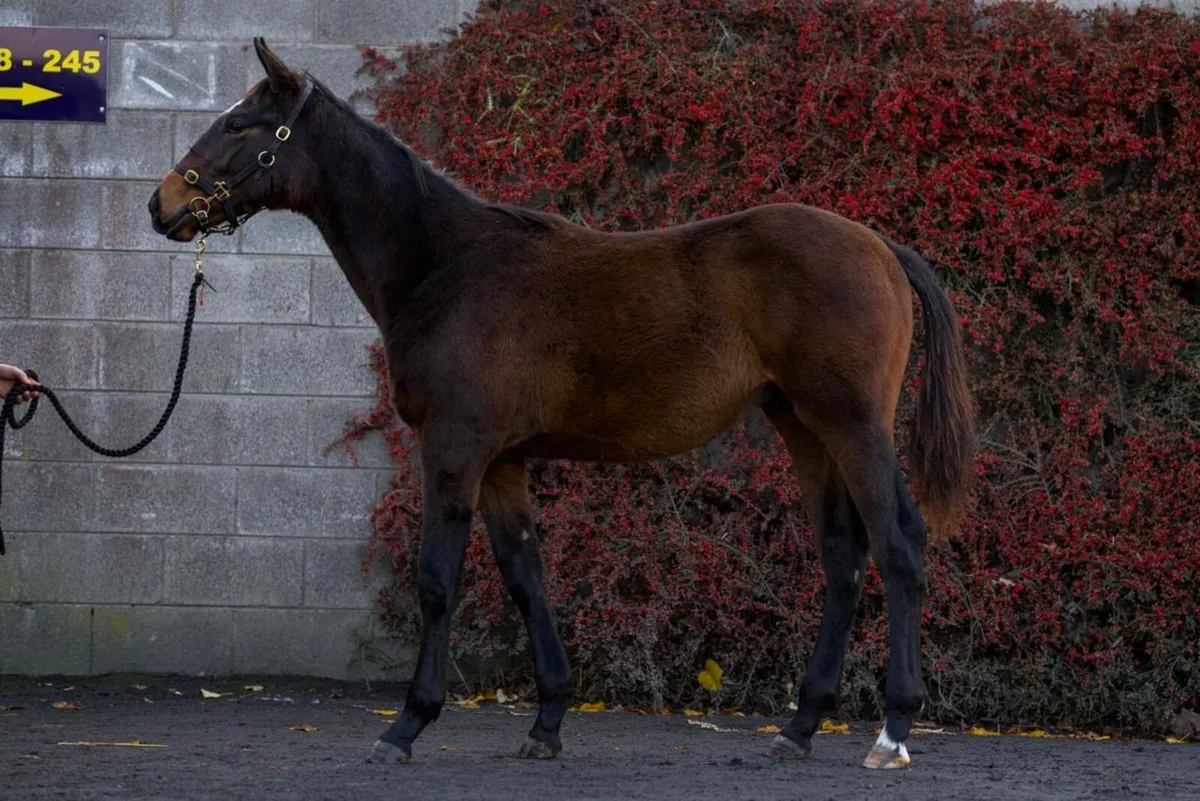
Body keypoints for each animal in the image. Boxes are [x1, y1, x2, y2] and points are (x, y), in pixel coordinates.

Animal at [149, 38, 974, 771]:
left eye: (243, 125)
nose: (165, 203)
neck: (447, 265)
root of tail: (882, 249)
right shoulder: (503, 461)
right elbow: (524, 575)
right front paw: (547, 720)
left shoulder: (453, 449)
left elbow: (437, 579)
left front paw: (406, 725)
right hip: (804, 428)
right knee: (843, 557)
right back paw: (798, 728)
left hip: (853, 425)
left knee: (900, 545)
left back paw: (892, 731)